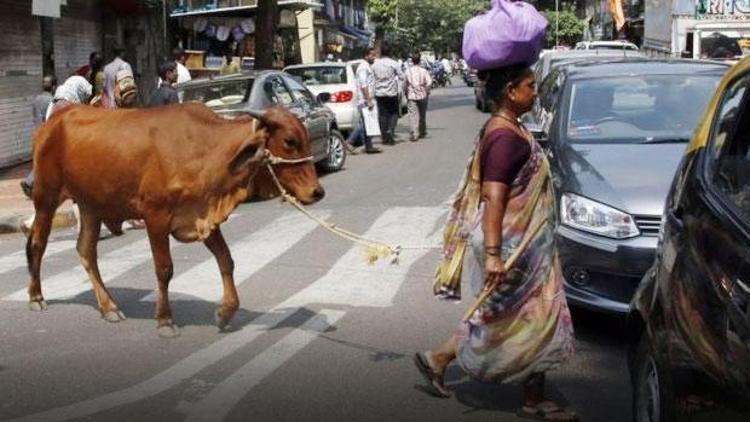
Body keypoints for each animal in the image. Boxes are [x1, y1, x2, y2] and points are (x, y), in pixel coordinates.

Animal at [25, 103, 324, 336]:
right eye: (289, 141)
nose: (317, 192)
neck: (205, 149)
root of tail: (55, 118)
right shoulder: (155, 216)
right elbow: (164, 269)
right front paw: (165, 320)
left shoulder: (203, 216)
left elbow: (226, 260)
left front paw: (225, 312)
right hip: (46, 197)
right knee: (37, 244)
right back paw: (36, 297)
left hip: (90, 205)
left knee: (86, 250)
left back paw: (109, 307)